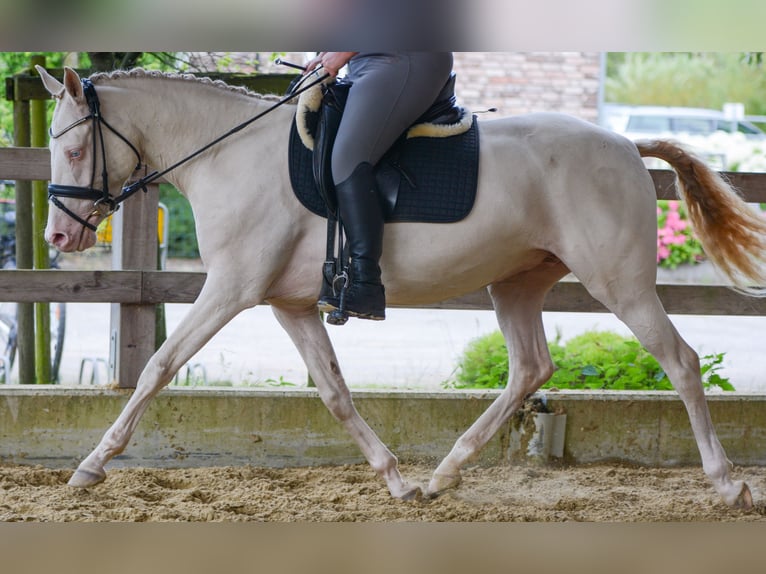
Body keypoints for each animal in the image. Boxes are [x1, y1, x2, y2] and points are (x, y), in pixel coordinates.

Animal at [36, 65, 766, 510]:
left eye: (73, 149)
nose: (59, 238)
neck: (226, 154)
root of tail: (623, 144)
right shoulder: (289, 305)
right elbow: (334, 393)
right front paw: (394, 479)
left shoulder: (231, 289)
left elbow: (157, 367)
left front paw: (90, 466)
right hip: (517, 285)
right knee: (531, 368)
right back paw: (444, 474)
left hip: (620, 283)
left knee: (681, 362)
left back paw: (728, 484)